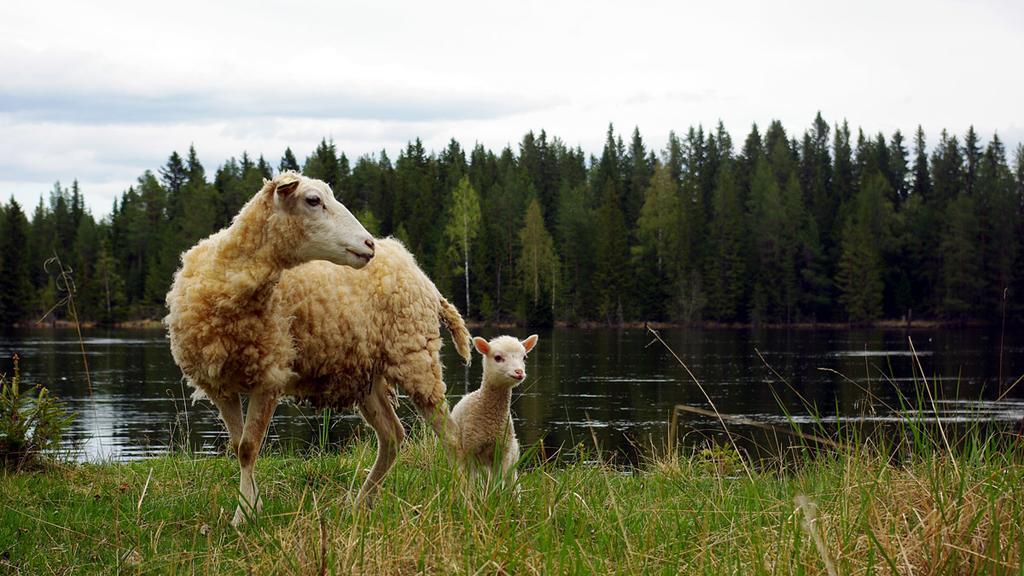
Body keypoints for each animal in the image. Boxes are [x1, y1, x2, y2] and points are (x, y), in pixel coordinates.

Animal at [163, 170, 376, 524]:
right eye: (313, 200)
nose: (370, 244)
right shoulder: (219, 386)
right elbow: (240, 446)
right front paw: (248, 510)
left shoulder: (270, 377)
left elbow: (249, 447)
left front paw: (246, 513)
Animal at [276, 235, 475, 504]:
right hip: (366, 375)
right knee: (392, 435)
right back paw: (360, 504)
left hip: (414, 358)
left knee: (450, 436)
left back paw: (465, 500)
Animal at [452, 334, 540, 481]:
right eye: (498, 357)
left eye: (524, 357)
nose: (519, 372)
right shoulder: (470, 449)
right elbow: (471, 481)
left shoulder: (503, 452)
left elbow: (499, 481)